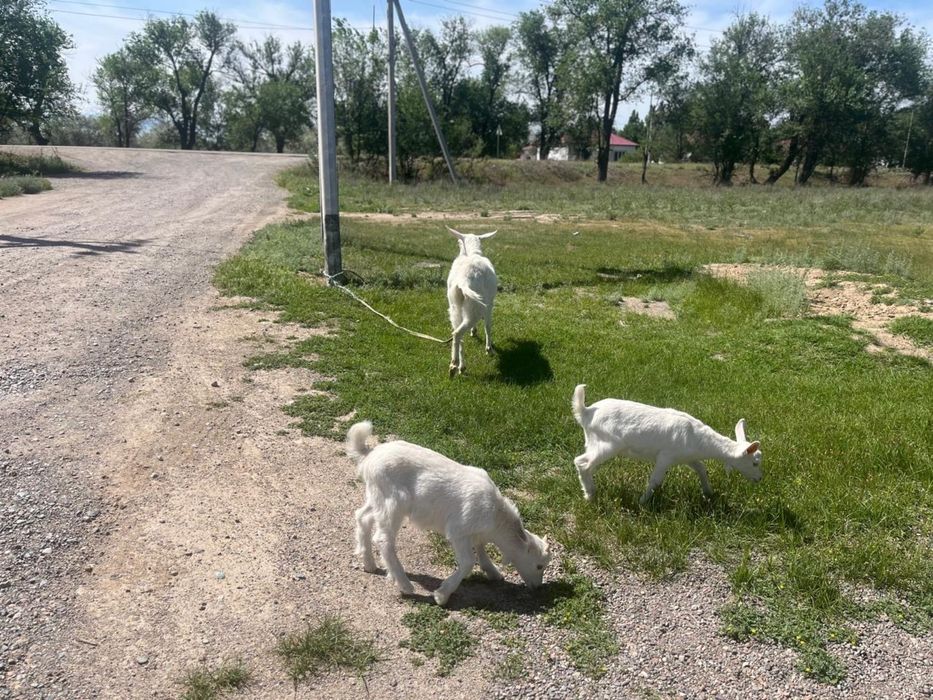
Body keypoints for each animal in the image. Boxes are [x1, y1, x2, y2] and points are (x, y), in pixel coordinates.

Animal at [347, 421, 551, 605]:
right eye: (539, 565)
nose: (538, 588)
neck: (496, 516)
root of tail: (369, 455)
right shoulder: (458, 531)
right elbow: (468, 562)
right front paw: (442, 595)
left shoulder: (475, 531)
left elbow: (481, 546)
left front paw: (493, 572)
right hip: (394, 503)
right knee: (383, 539)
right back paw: (405, 585)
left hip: (376, 496)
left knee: (362, 516)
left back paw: (369, 564)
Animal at [446, 226, 497, 377]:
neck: (473, 253)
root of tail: (463, 281)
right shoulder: (489, 304)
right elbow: (488, 326)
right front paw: (489, 348)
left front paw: (474, 332)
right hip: (475, 307)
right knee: (458, 333)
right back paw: (454, 365)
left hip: (455, 306)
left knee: (457, 333)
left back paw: (461, 367)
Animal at [571, 384, 762, 504]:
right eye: (754, 462)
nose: (760, 479)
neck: (698, 440)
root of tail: (586, 412)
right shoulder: (666, 456)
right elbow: (655, 480)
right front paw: (642, 502)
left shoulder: (687, 457)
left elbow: (701, 468)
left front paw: (708, 493)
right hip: (608, 444)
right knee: (581, 462)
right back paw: (590, 495)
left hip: (593, 442)